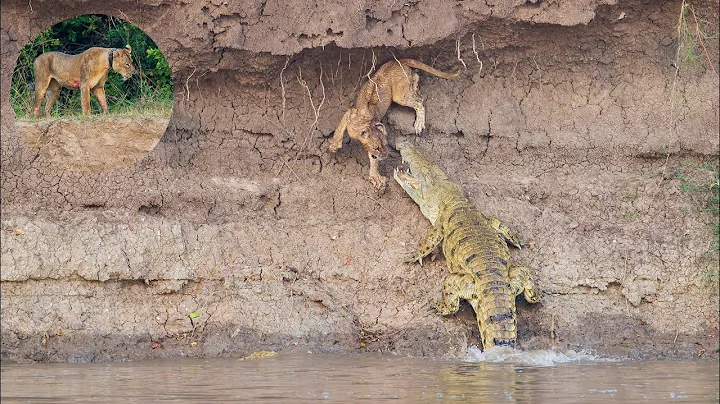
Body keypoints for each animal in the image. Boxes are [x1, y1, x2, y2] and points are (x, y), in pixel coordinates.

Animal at [328, 58, 460, 190]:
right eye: (376, 147)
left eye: (385, 145)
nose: (385, 156)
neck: (366, 125)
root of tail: (396, 61)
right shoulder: (350, 114)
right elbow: (340, 129)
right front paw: (334, 145)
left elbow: (373, 160)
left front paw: (376, 177)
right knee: (416, 83)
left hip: (399, 95)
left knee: (419, 101)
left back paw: (419, 123)